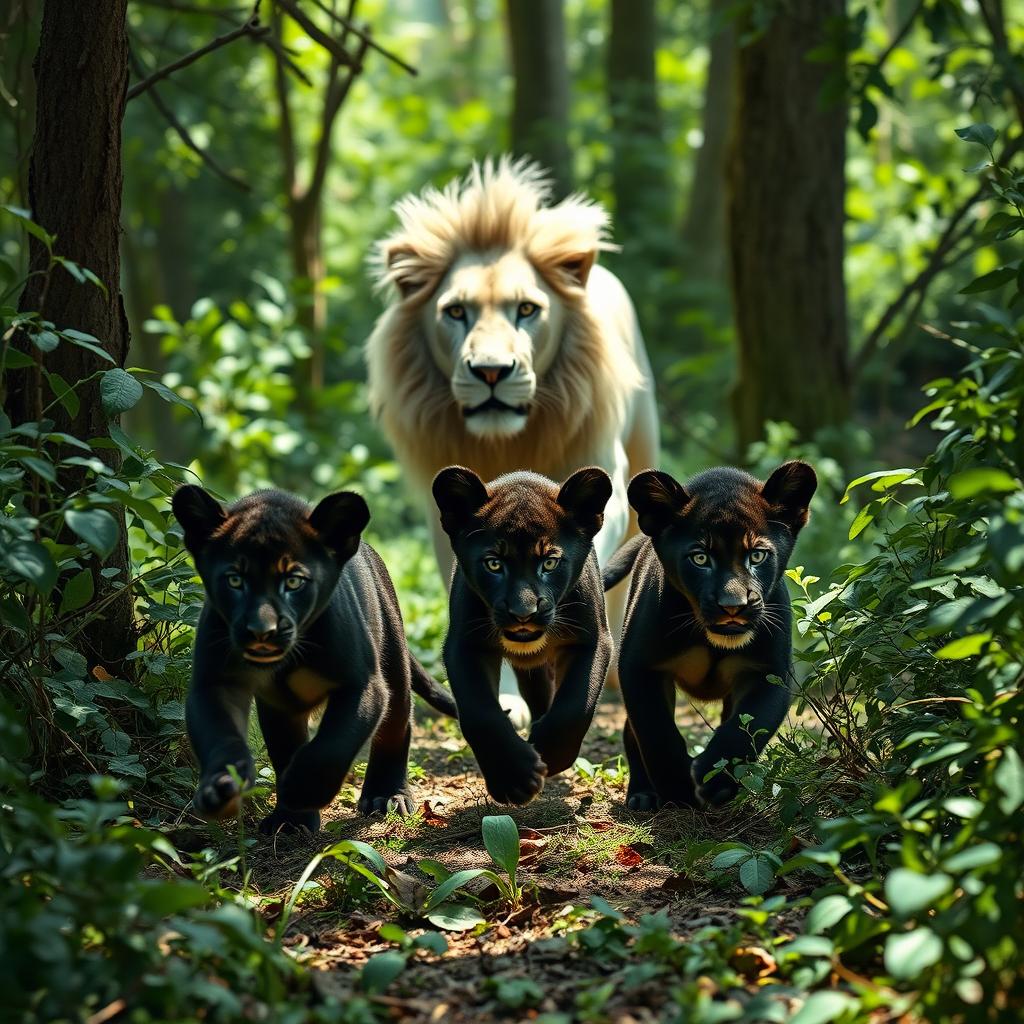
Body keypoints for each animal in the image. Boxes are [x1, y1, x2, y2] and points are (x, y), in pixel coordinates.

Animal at [365, 158, 659, 723]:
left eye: (526, 309)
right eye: (455, 312)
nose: (491, 371)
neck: (508, 443)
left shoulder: (599, 477)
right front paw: (505, 695)